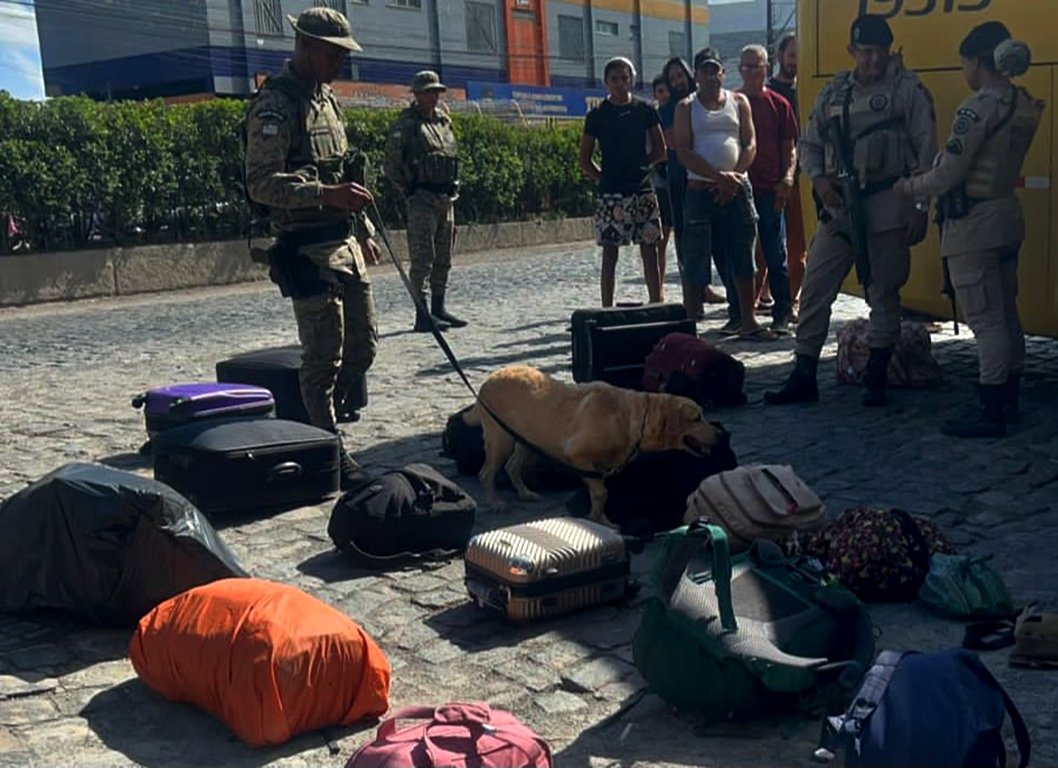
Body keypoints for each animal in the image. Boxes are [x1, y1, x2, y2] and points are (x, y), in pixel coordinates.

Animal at [463, 366, 719, 522]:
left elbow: (601, 494)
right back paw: (496, 503)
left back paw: (526, 494)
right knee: (486, 473)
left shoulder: (600, 467)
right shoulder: (579, 456)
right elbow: (601, 493)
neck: (631, 415)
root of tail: (489, 379)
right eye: (697, 417)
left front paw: (601, 520)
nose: (719, 433)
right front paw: (595, 520)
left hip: (526, 440)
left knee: (512, 466)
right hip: (500, 438)